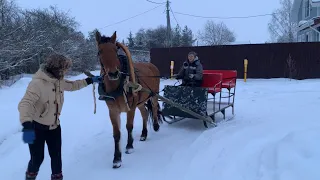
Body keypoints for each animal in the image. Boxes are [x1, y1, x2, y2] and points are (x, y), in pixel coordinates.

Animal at [94, 30, 164, 168]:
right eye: (100, 51)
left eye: (115, 50)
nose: (113, 73)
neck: (118, 85)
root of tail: (151, 64)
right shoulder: (113, 111)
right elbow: (116, 134)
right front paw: (117, 158)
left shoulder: (131, 107)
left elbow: (129, 126)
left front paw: (129, 146)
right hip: (141, 101)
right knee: (144, 113)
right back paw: (143, 134)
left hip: (153, 94)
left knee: (153, 108)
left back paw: (155, 125)